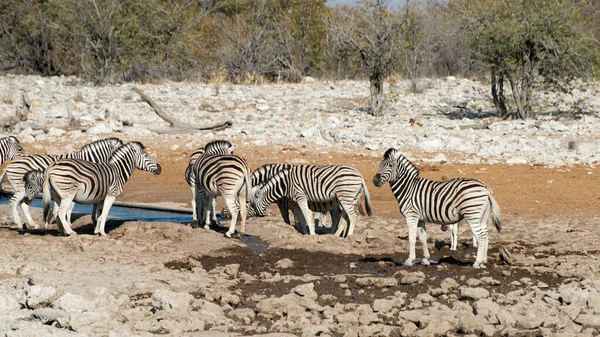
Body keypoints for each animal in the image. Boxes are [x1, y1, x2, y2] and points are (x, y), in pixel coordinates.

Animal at [372, 148, 500, 270]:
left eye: (390, 165)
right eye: (380, 164)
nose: (375, 181)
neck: (408, 188)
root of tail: (485, 187)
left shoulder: (411, 216)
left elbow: (412, 239)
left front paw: (409, 261)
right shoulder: (420, 218)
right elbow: (423, 238)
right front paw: (425, 260)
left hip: (472, 214)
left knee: (481, 236)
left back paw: (477, 263)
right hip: (482, 216)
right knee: (486, 235)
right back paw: (483, 262)